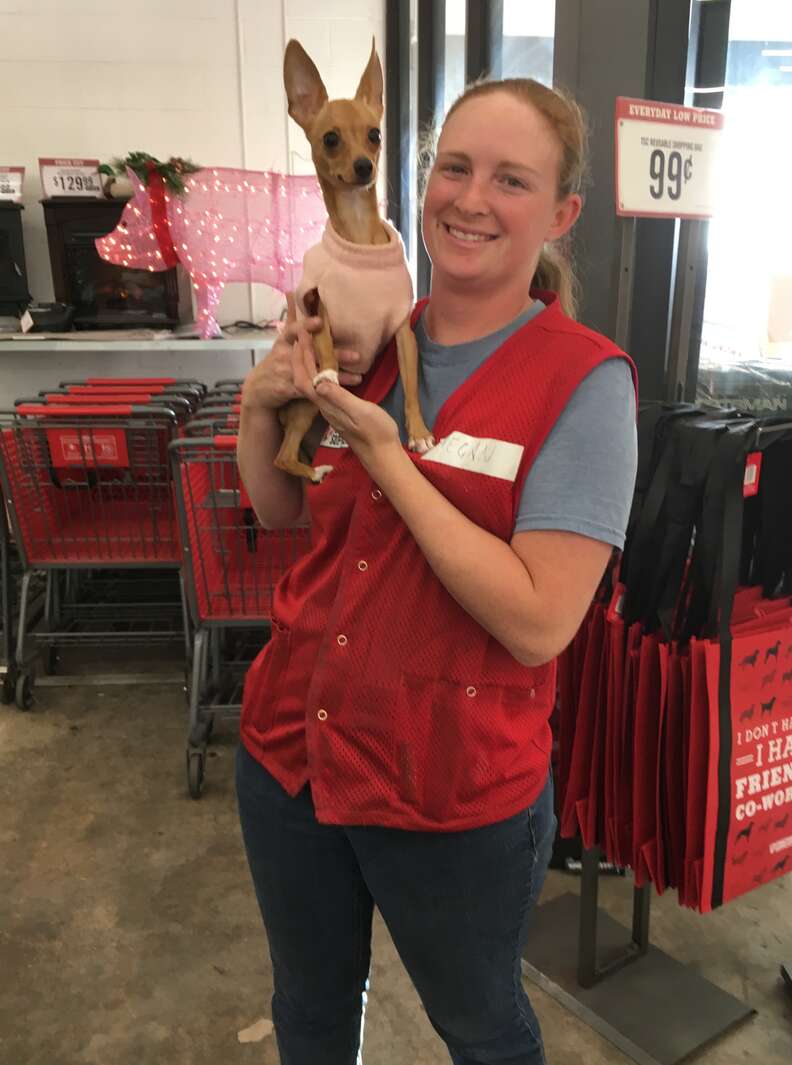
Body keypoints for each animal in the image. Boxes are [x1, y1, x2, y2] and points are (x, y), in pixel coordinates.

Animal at [274, 36, 430, 479]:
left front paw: (419, 432)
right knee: (281, 457)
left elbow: (411, 387)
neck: (359, 233)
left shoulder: (402, 332)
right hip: (304, 406)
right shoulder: (315, 301)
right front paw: (328, 368)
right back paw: (313, 471)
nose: (364, 166)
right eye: (330, 139)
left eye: (375, 134)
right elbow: (324, 335)